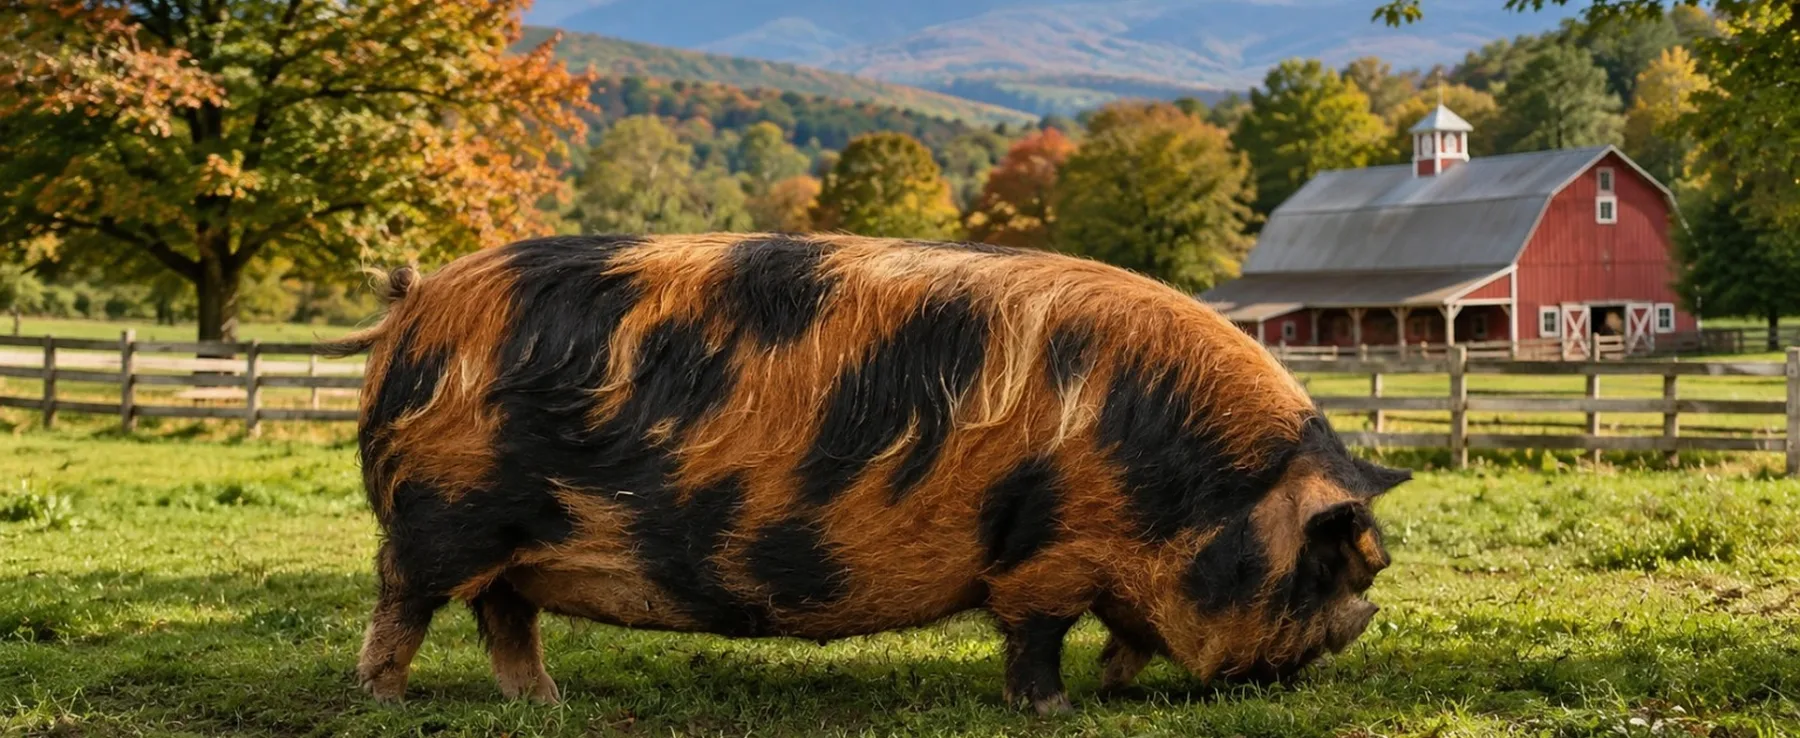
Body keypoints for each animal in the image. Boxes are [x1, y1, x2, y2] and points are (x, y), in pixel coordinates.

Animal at [333, 233, 1410, 713]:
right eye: (1332, 564)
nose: (1340, 642)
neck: (1184, 482)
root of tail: (416, 303)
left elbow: (1126, 633)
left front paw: (1111, 687)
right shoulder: (1047, 554)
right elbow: (1037, 636)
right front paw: (1056, 710)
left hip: (502, 541)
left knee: (504, 615)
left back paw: (545, 703)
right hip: (441, 516)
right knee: (405, 600)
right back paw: (386, 701)